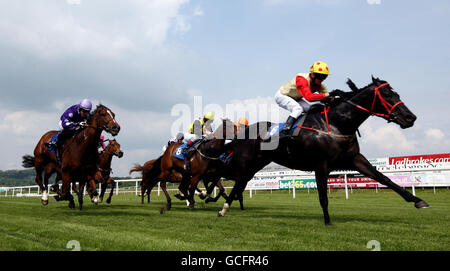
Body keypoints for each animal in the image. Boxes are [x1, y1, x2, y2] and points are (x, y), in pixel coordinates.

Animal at [217, 76, 428, 225]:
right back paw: (223, 209)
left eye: (397, 94)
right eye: (388, 95)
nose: (410, 118)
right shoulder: (321, 164)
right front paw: (327, 221)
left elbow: (383, 178)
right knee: (237, 184)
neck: (336, 125)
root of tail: (243, 131)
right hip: (247, 163)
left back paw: (224, 208)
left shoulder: (354, 159)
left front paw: (418, 201)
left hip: (257, 164)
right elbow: (323, 196)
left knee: (240, 184)